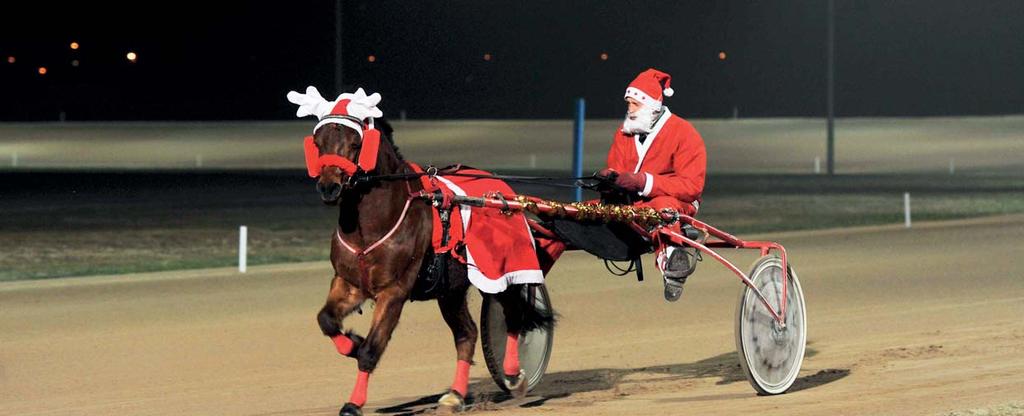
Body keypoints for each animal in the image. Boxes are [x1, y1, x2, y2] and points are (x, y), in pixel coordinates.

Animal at [307, 115, 557, 413]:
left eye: (356, 144)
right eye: (318, 142)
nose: (328, 187)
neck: (372, 224)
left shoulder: (394, 291)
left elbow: (371, 349)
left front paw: (353, 403)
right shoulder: (349, 283)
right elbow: (326, 320)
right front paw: (352, 344)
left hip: (501, 276)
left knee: (514, 317)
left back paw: (513, 376)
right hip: (450, 291)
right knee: (467, 333)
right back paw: (456, 394)